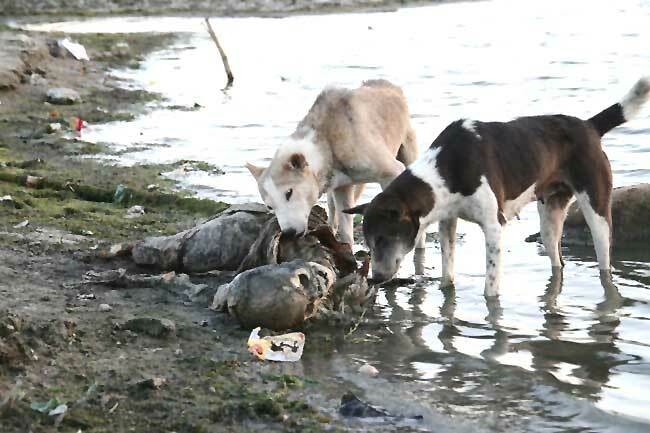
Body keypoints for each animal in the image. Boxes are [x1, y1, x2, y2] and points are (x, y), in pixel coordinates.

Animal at [247, 79, 420, 245]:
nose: (289, 233)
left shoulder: (391, 172)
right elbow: (346, 232)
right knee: (333, 210)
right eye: (269, 206)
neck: (326, 142)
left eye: (289, 193)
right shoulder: (342, 189)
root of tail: (390, 86)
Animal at [344, 76, 648, 296]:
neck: (447, 168)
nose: (376, 278)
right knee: (557, 261)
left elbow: (490, 287)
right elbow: (447, 274)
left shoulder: (493, 226)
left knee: (604, 264)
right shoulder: (447, 222)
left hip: (597, 212)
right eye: (369, 242)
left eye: (383, 238)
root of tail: (588, 126)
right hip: (550, 218)